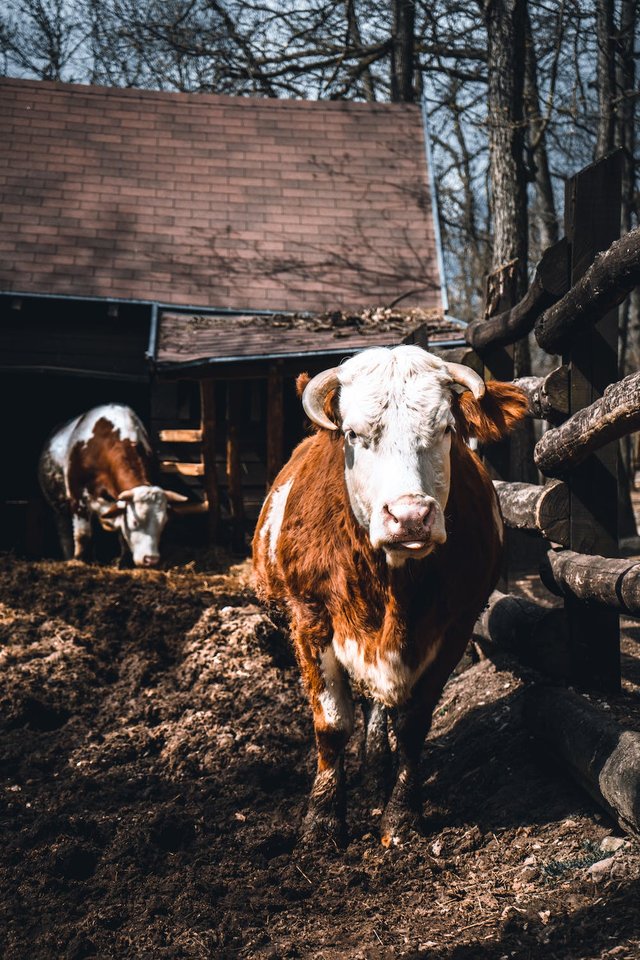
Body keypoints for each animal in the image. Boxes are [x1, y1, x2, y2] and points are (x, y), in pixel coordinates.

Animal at [39, 404, 186, 568]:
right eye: (135, 522)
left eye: (163, 522)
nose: (151, 559)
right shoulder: (78, 497)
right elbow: (83, 534)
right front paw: (81, 560)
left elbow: (121, 530)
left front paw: (124, 562)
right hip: (58, 505)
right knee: (64, 529)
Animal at [252, 344, 528, 848]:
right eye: (353, 433)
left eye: (446, 429)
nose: (410, 515)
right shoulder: (309, 620)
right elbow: (331, 724)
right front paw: (323, 821)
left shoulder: (455, 627)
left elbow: (412, 724)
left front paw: (401, 816)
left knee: (381, 712)